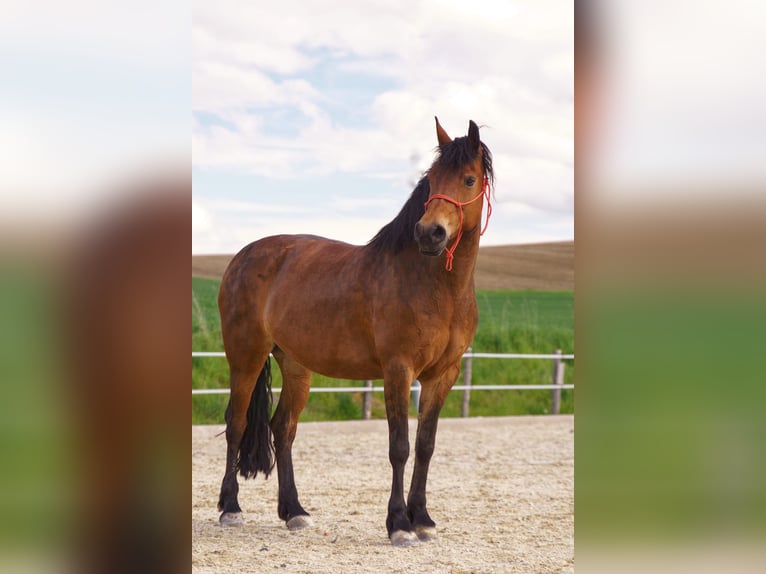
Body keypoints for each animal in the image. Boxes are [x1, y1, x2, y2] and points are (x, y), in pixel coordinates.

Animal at [217, 117, 494, 547]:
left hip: (295, 365)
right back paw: (231, 508)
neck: (435, 287)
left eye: (467, 179)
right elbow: (399, 447)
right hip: (245, 358)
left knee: (283, 429)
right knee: (237, 423)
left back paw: (294, 512)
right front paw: (399, 524)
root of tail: (242, 257)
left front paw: (423, 519)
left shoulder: (442, 376)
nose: (429, 233)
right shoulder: (398, 370)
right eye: (430, 180)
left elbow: (425, 445)